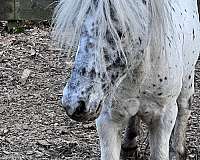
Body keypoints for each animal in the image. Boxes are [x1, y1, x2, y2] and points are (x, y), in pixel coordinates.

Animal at [52, 0, 200, 160]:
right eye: (80, 27)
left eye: (120, 32)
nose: (74, 104)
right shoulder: (107, 119)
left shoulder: (164, 118)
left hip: (188, 77)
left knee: (184, 107)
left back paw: (178, 151)